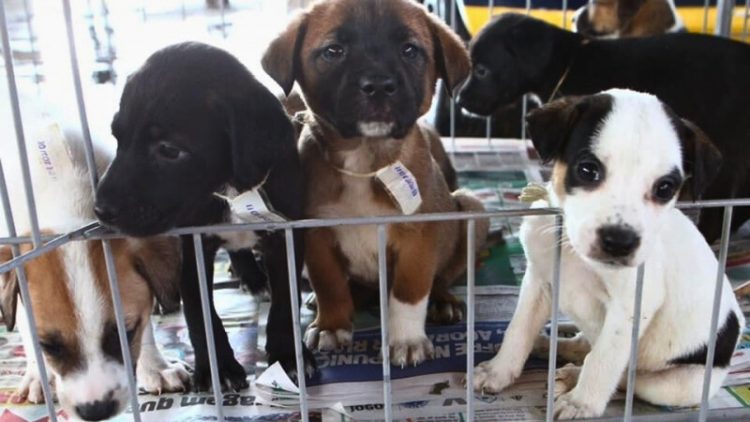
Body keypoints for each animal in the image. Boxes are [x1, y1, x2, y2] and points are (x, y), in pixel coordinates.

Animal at [0, 123, 188, 420]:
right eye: (48, 346)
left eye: (126, 333)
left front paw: (155, 367)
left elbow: (145, 323)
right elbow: (26, 328)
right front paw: (38, 376)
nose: (96, 410)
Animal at [96, 41, 314, 390]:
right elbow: (200, 315)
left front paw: (288, 357)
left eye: (169, 150)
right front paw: (218, 368)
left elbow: (284, 303)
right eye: (118, 137)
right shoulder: (190, 245)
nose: (100, 209)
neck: (229, 190)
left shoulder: (285, 235)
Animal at [262, 0, 488, 366]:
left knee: (440, 276)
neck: (367, 161)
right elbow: (329, 284)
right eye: (333, 51)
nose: (379, 85)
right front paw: (332, 325)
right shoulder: (316, 234)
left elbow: (410, 291)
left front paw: (406, 339)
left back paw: (442, 301)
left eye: (410, 50)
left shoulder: (417, 237)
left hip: (472, 207)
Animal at [476, 89, 748, 418]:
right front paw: (498, 371)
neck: (574, 251)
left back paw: (573, 376)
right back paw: (553, 345)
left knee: (625, 377)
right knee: (585, 344)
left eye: (665, 188)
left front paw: (581, 403)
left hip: (677, 384)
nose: (619, 242)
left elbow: (603, 361)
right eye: (588, 170)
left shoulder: (631, 306)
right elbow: (517, 330)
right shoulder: (538, 281)